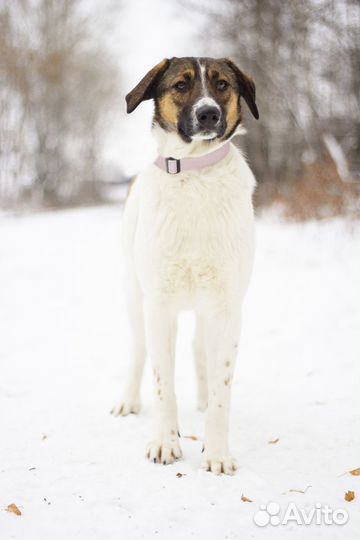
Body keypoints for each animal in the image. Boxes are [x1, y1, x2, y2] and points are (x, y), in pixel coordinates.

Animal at [112, 57, 258, 474]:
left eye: (222, 84)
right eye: (181, 84)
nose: (208, 113)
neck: (194, 172)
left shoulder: (227, 308)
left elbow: (223, 388)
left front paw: (217, 452)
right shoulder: (159, 306)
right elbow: (163, 384)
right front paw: (165, 442)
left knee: (198, 349)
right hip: (135, 297)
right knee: (140, 350)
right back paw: (129, 400)